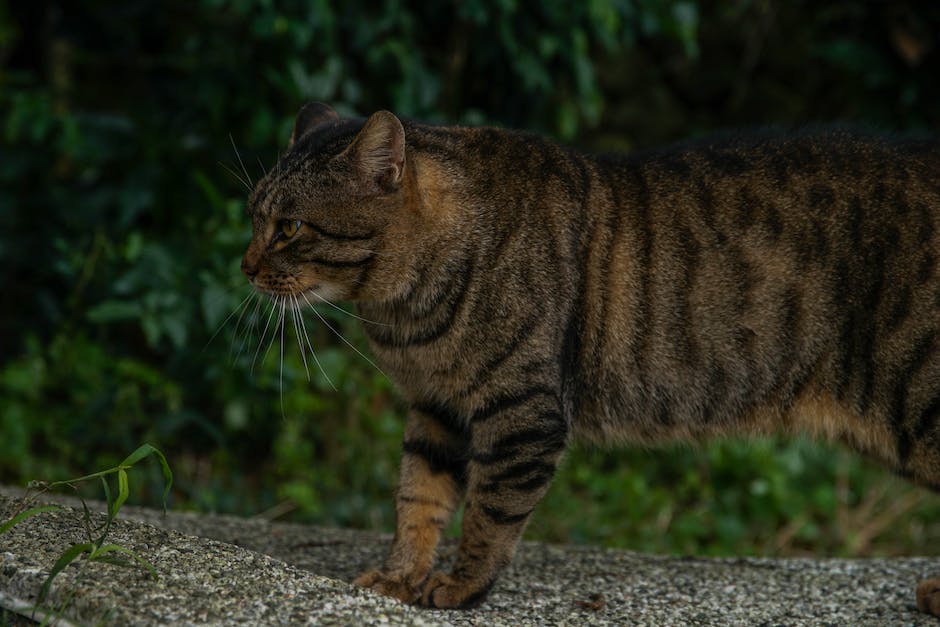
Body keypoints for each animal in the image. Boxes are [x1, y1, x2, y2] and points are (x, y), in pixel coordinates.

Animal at [241, 103, 940, 612]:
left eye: (289, 228)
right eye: (252, 218)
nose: (243, 265)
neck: (404, 317)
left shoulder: (521, 414)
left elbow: (489, 513)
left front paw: (462, 587)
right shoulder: (438, 407)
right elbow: (419, 498)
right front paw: (399, 576)